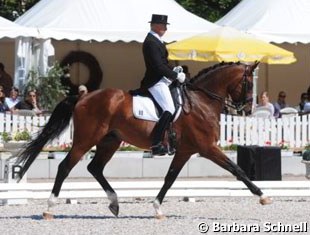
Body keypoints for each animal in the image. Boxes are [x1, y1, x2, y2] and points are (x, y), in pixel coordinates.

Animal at [14, 61, 272, 219]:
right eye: (249, 83)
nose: (247, 109)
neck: (202, 102)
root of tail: (83, 96)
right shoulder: (207, 147)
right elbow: (237, 169)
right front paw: (263, 196)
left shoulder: (186, 150)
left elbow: (170, 178)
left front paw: (157, 208)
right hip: (85, 140)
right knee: (65, 166)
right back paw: (49, 208)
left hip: (110, 141)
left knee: (95, 167)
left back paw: (114, 203)